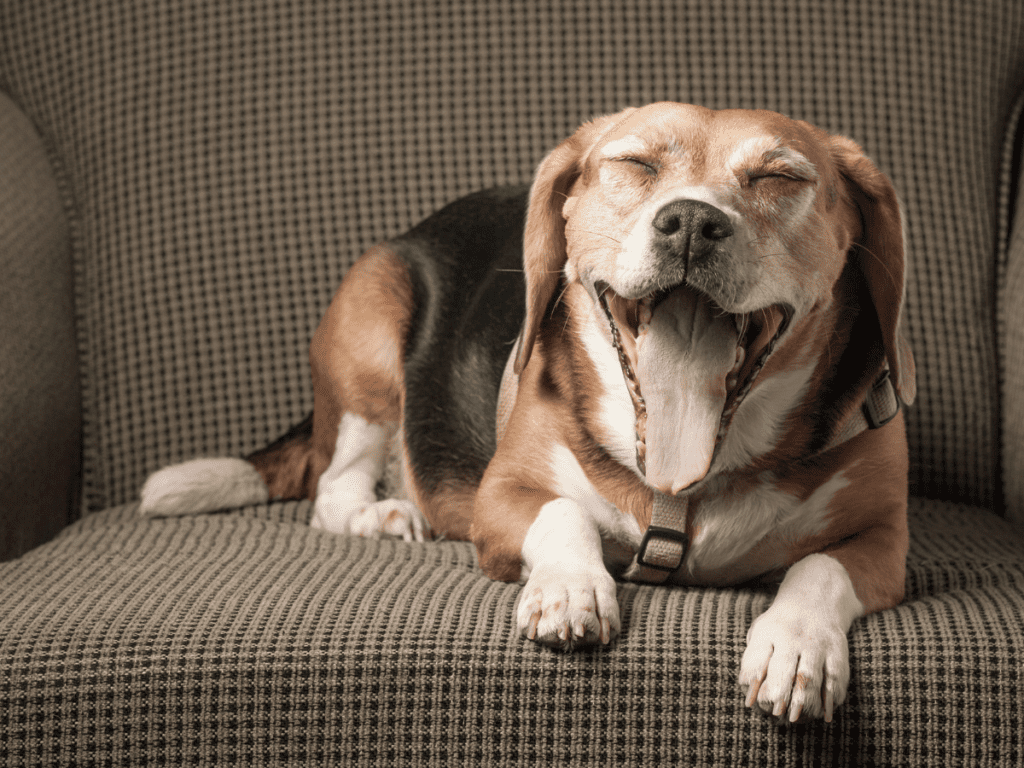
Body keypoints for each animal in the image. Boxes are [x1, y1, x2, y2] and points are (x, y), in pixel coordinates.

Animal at [140, 103, 917, 729]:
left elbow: (818, 567)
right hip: (370, 320)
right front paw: (571, 588)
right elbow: (562, 512)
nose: (694, 222)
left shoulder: (886, 542)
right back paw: (381, 513)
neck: (689, 483)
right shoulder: (501, 500)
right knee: (332, 488)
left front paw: (797, 645)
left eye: (780, 178)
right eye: (632, 163)